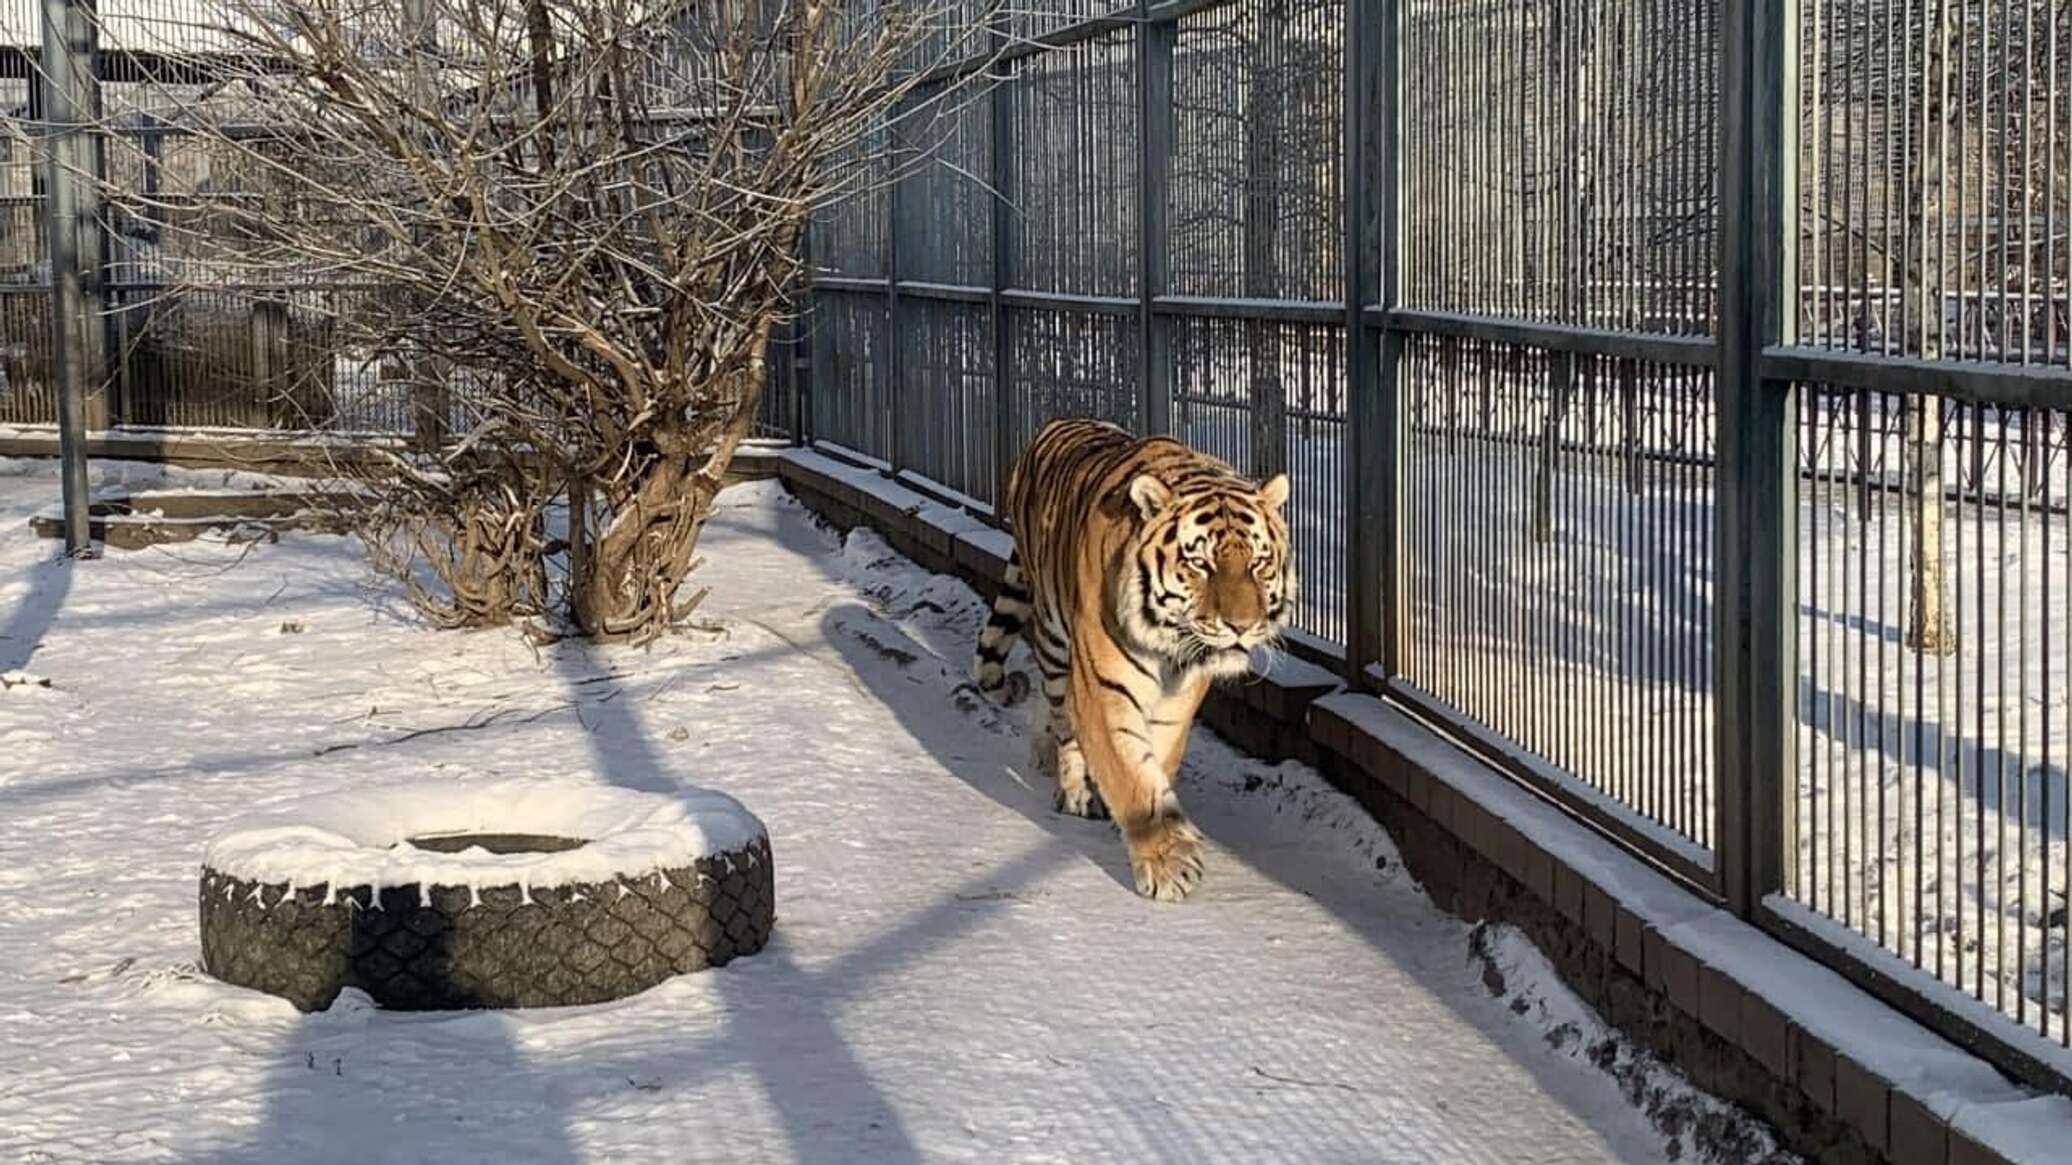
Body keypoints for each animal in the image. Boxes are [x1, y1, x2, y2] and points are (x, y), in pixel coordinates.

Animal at [969, 416, 1292, 899]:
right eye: (1201, 564)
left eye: (1258, 562)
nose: (1241, 625)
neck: (1169, 642)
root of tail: (1054, 424)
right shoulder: (1103, 683)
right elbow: (1128, 769)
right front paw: (1168, 864)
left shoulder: (1180, 692)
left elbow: (1156, 756)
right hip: (1054, 637)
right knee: (1061, 713)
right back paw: (1073, 787)